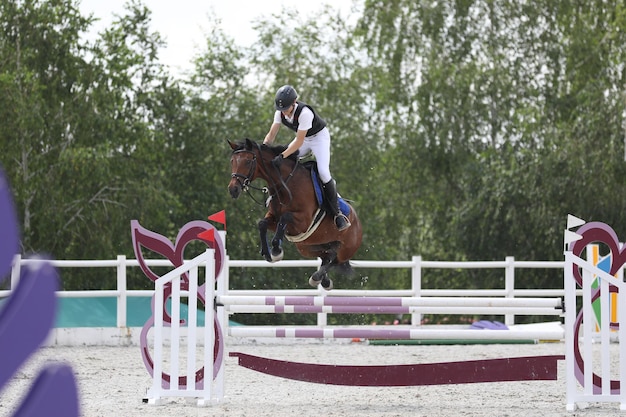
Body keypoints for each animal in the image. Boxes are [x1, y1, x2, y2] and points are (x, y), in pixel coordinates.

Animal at [227, 138, 360, 288]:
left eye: (248, 161)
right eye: (232, 161)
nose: (233, 189)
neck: (286, 184)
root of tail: (357, 222)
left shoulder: (303, 221)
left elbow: (285, 217)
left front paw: (276, 251)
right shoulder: (274, 218)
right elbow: (262, 223)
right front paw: (267, 253)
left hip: (346, 249)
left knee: (335, 260)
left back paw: (317, 277)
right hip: (307, 247)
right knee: (328, 256)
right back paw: (323, 280)